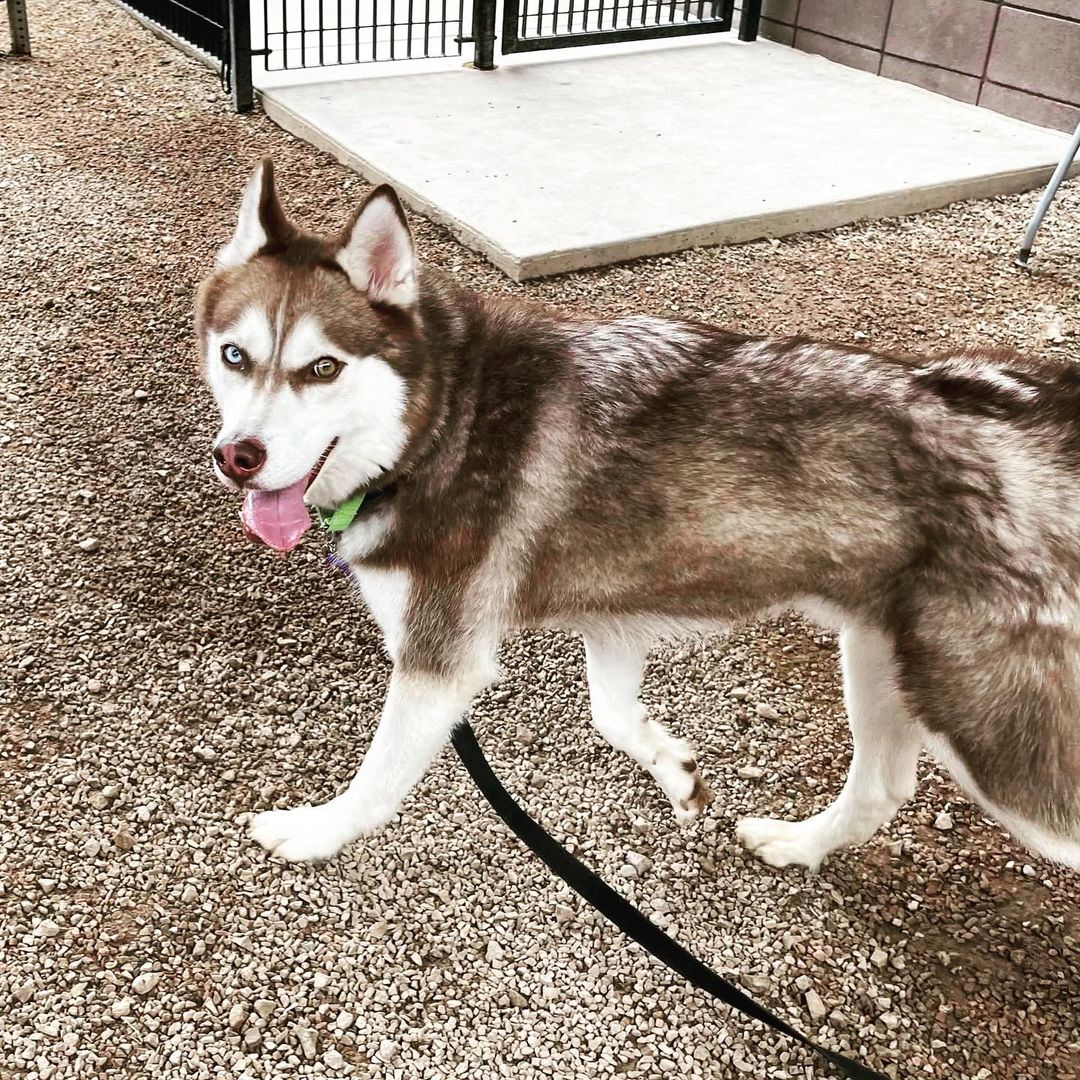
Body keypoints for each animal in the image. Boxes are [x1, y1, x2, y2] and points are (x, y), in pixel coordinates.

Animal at [196, 159, 1080, 868]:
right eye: (235, 355)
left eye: (322, 368)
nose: (238, 455)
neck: (444, 418)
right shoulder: (611, 617)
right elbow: (613, 716)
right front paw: (673, 769)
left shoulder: (440, 660)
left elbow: (378, 778)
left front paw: (316, 832)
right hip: (880, 658)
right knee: (882, 788)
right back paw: (798, 846)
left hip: (997, 737)